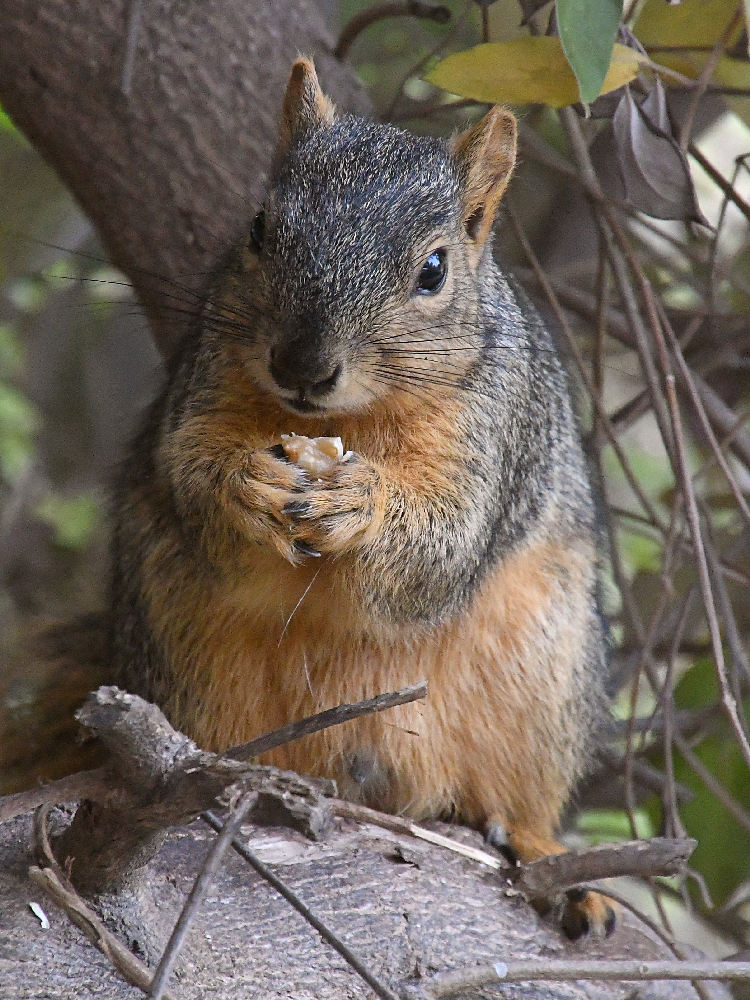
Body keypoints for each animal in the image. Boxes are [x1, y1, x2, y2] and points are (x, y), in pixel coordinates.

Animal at [9, 57, 615, 938]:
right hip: (183, 655)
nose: (302, 365)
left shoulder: (496, 435)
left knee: (519, 797)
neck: (342, 421)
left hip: (544, 675)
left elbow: (439, 553)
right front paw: (245, 484)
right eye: (259, 229)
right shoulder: (201, 392)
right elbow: (197, 490)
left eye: (434, 270)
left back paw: (553, 861)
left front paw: (361, 504)